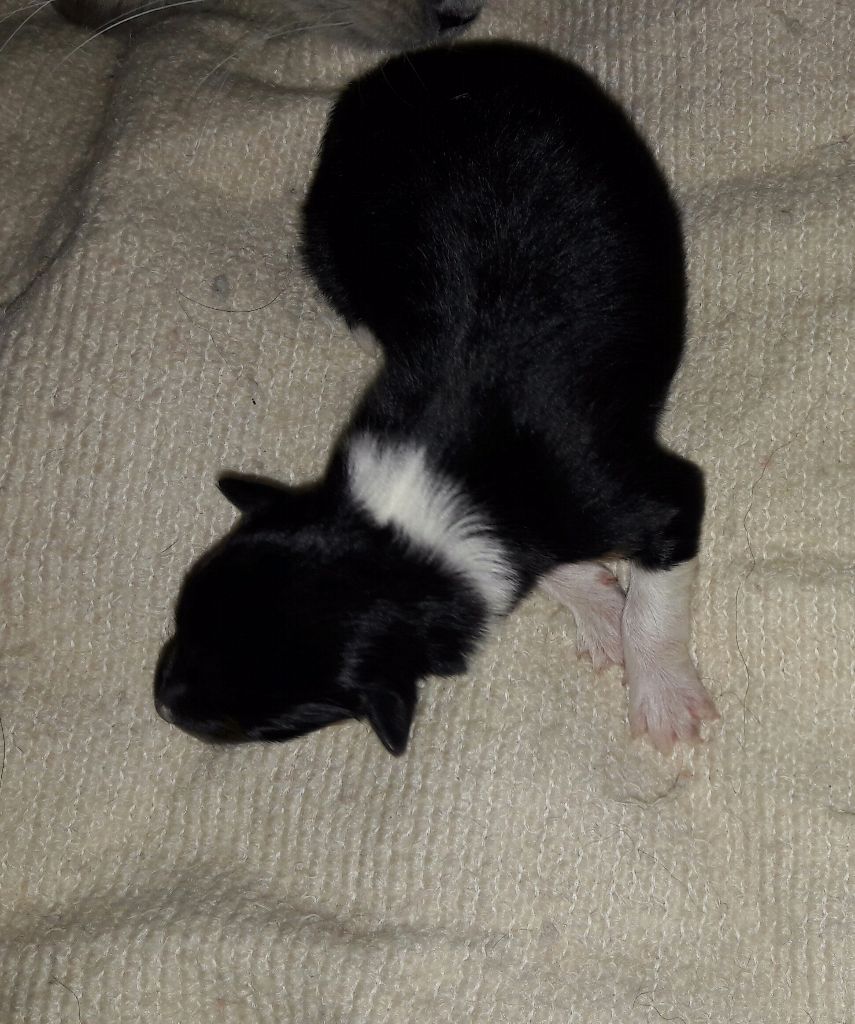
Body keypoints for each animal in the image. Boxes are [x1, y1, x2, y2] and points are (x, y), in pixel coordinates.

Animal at [154, 41, 720, 756]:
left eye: (254, 728)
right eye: (181, 612)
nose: (162, 703)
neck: (411, 515)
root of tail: (400, 68)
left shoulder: (644, 495)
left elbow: (655, 601)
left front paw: (665, 700)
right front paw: (595, 607)